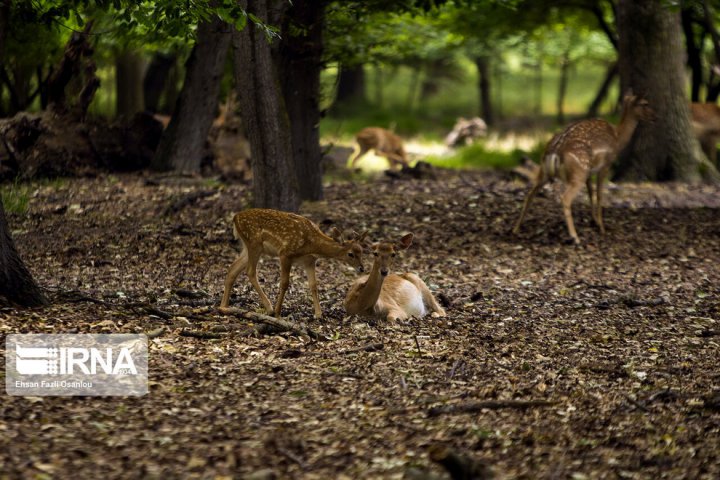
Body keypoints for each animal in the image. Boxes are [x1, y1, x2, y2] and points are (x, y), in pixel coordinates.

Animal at [218, 208, 366, 316]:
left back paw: (224, 307)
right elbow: (284, 283)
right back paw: (269, 308)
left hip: (248, 246)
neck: (312, 244)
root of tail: (235, 217)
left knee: (233, 269)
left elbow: (313, 285)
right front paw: (278, 312)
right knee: (250, 271)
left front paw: (318, 314)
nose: (362, 268)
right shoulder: (285, 254)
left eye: (362, 251)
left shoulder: (309, 261)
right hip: (254, 243)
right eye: (350, 254)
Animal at [512, 92, 652, 244]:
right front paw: (602, 228)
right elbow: (600, 194)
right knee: (565, 198)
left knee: (530, 194)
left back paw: (516, 229)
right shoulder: (605, 165)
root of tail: (554, 152)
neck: (618, 138)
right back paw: (575, 237)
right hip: (578, 172)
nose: (654, 116)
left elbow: (590, 192)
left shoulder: (589, 171)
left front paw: (594, 221)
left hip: (546, 171)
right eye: (644, 103)